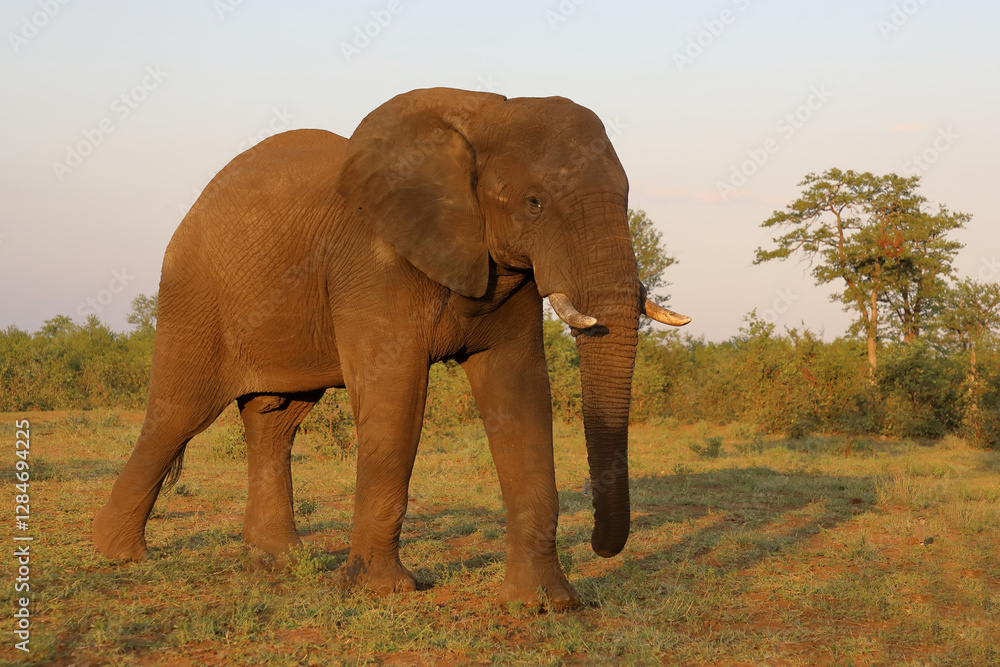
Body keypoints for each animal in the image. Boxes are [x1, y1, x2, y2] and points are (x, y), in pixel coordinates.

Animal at [92, 87, 690, 609]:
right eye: (534, 203)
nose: (601, 546)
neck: (481, 116)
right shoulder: (372, 262)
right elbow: (396, 395)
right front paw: (384, 592)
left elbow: (521, 397)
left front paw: (545, 604)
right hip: (193, 296)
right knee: (178, 415)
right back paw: (118, 556)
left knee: (276, 422)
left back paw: (278, 563)